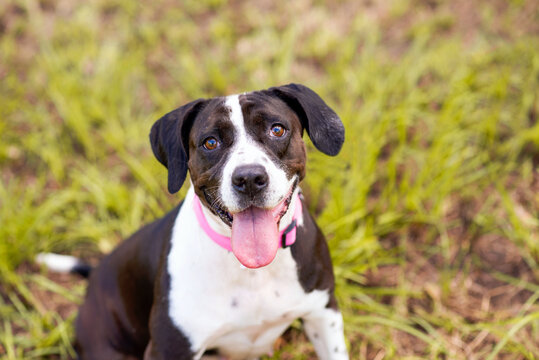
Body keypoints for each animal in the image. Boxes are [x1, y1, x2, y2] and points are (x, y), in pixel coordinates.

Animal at [39, 83, 350, 358]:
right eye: (210, 142)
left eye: (277, 129)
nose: (249, 178)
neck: (251, 271)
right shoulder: (169, 348)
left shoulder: (324, 314)